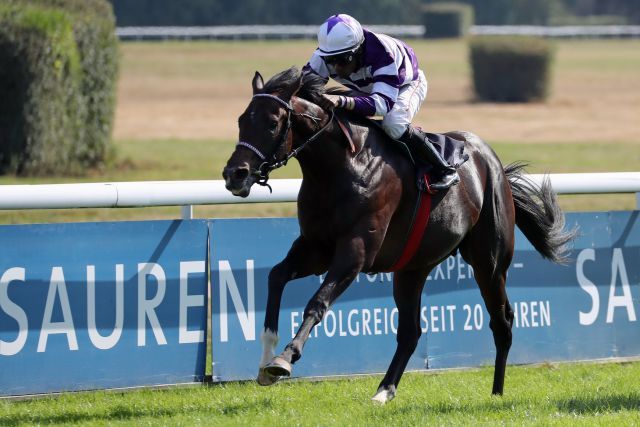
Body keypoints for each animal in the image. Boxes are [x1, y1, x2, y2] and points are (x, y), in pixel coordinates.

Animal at [221, 67, 576, 404]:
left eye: (272, 123)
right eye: (241, 120)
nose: (234, 174)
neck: (341, 168)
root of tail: (493, 164)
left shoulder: (356, 251)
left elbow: (317, 302)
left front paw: (285, 358)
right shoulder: (315, 248)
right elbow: (276, 277)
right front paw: (265, 359)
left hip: (489, 263)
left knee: (501, 322)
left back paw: (497, 393)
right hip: (412, 268)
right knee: (410, 332)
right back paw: (384, 390)